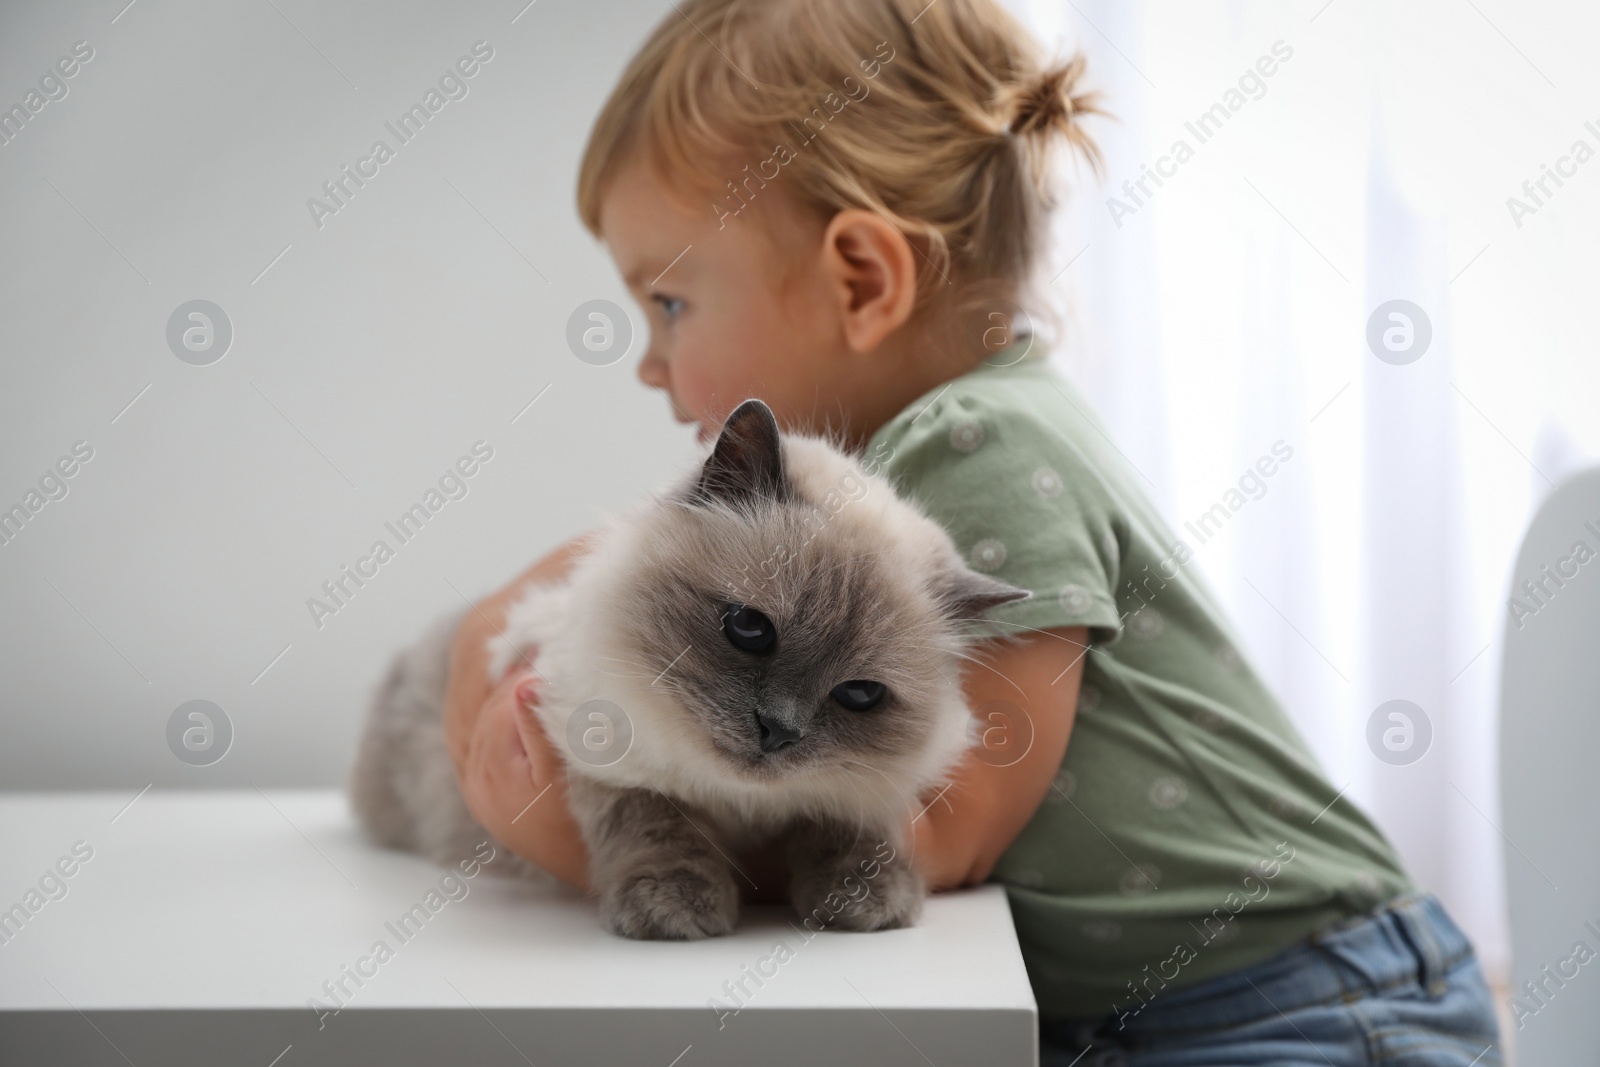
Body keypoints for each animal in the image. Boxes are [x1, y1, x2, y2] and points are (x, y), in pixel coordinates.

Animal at [348, 403, 1024, 940]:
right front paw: (674, 910)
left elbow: (853, 828)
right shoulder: (600, 752)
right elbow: (659, 827)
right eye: (749, 629)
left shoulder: (862, 788)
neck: (738, 801)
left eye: (859, 694)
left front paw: (867, 902)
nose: (778, 730)